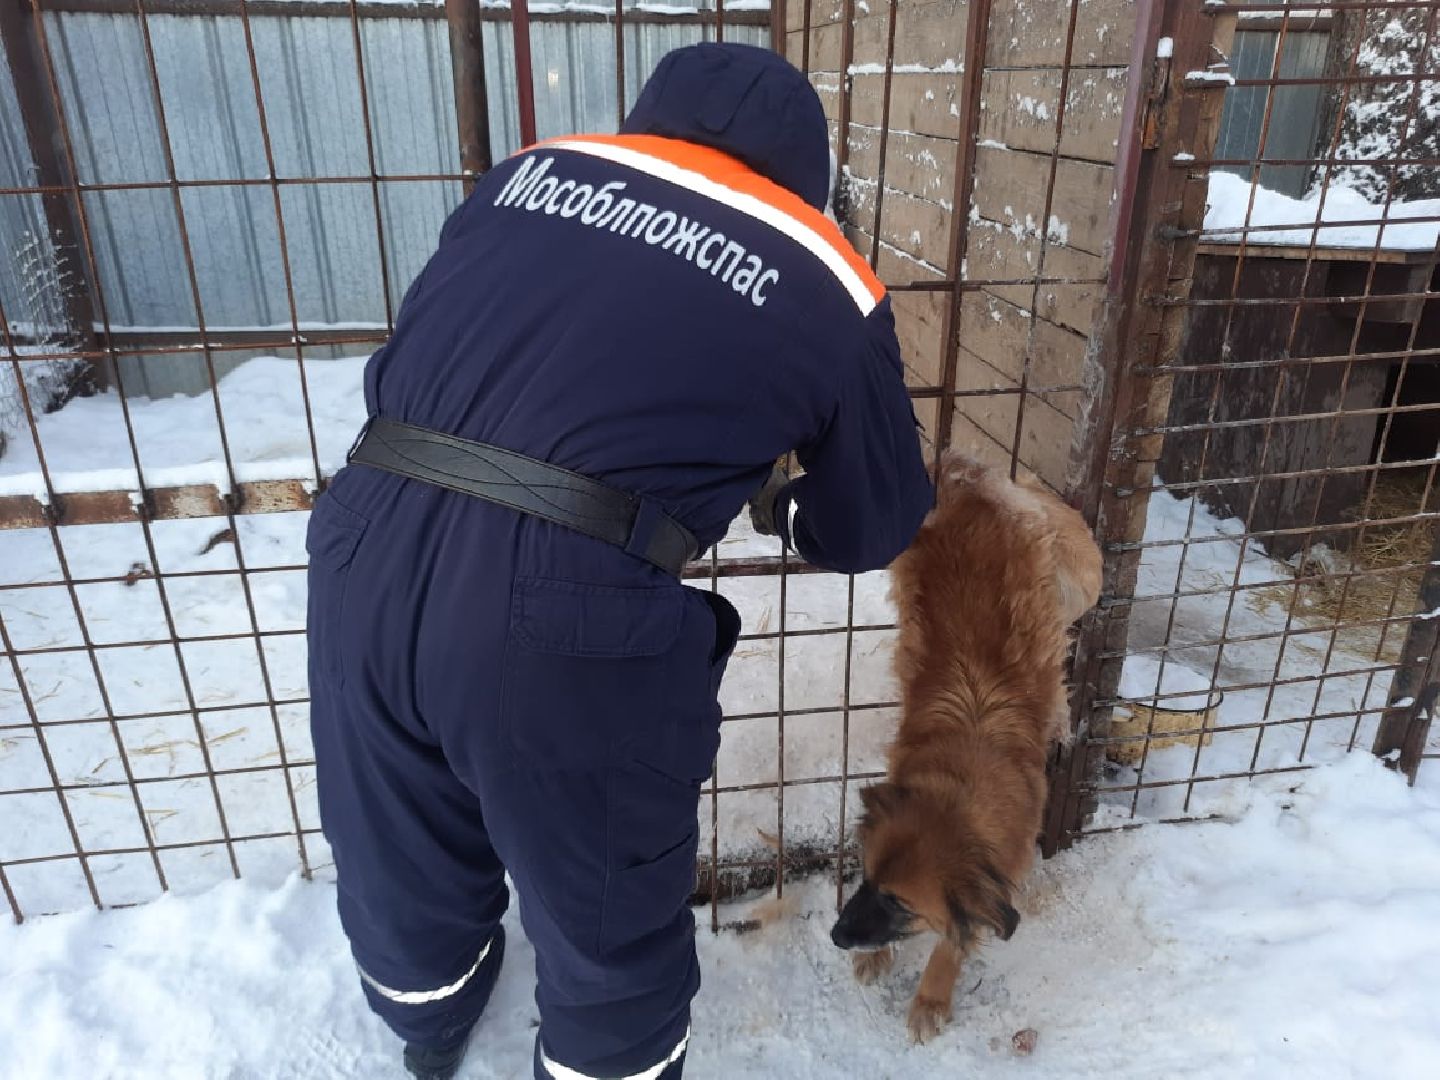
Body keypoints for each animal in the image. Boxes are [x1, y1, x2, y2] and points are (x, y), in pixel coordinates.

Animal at [829, 452, 1094, 1042]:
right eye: (865, 878)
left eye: (899, 903)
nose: (836, 938)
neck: (962, 781)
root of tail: (969, 484)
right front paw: (877, 959)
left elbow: (954, 940)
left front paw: (931, 996)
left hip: (1072, 583)